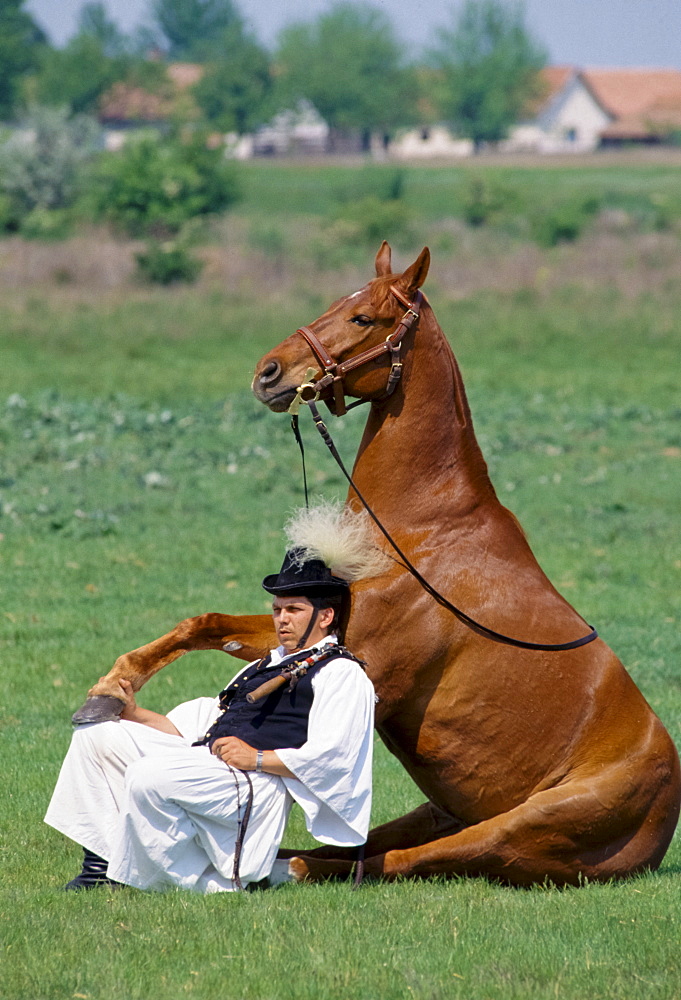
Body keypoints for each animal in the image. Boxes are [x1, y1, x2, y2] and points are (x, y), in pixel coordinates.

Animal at [71, 246, 676, 888]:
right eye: (337, 300)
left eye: (363, 318)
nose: (268, 372)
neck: (417, 534)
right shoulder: (309, 625)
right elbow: (206, 626)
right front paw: (110, 691)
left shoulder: (364, 675)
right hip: (442, 808)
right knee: (375, 848)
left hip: (521, 828)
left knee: (406, 859)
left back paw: (288, 866)